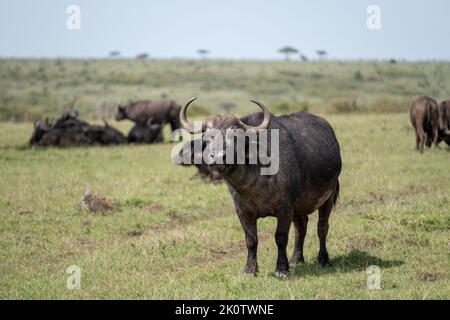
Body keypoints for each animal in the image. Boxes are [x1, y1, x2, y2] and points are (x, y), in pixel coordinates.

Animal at [179, 99, 342, 276]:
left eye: (235, 136)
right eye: (208, 137)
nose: (218, 158)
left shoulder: (285, 207)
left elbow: (281, 237)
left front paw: (281, 269)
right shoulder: (242, 210)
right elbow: (251, 240)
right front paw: (250, 270)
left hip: (328, 196)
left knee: (322, 227)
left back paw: (323, 259)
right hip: (299, 207)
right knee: (301, 227)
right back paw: (296, 259)